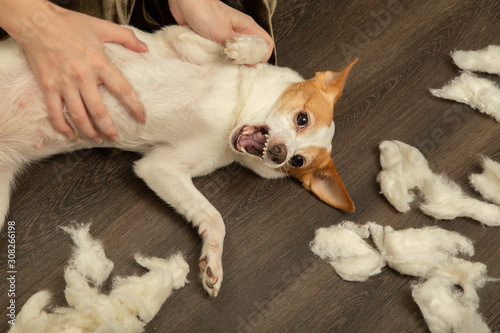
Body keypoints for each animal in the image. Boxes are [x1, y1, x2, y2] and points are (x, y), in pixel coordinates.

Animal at [0, 26, 360, 296]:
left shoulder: (162, 166)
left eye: (297, 162)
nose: (279, 154)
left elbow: (213, 217)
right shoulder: (180, 37)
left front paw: (212, 262)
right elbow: (252, 47)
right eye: (302, 118)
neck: (232, 112)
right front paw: (244, 49)